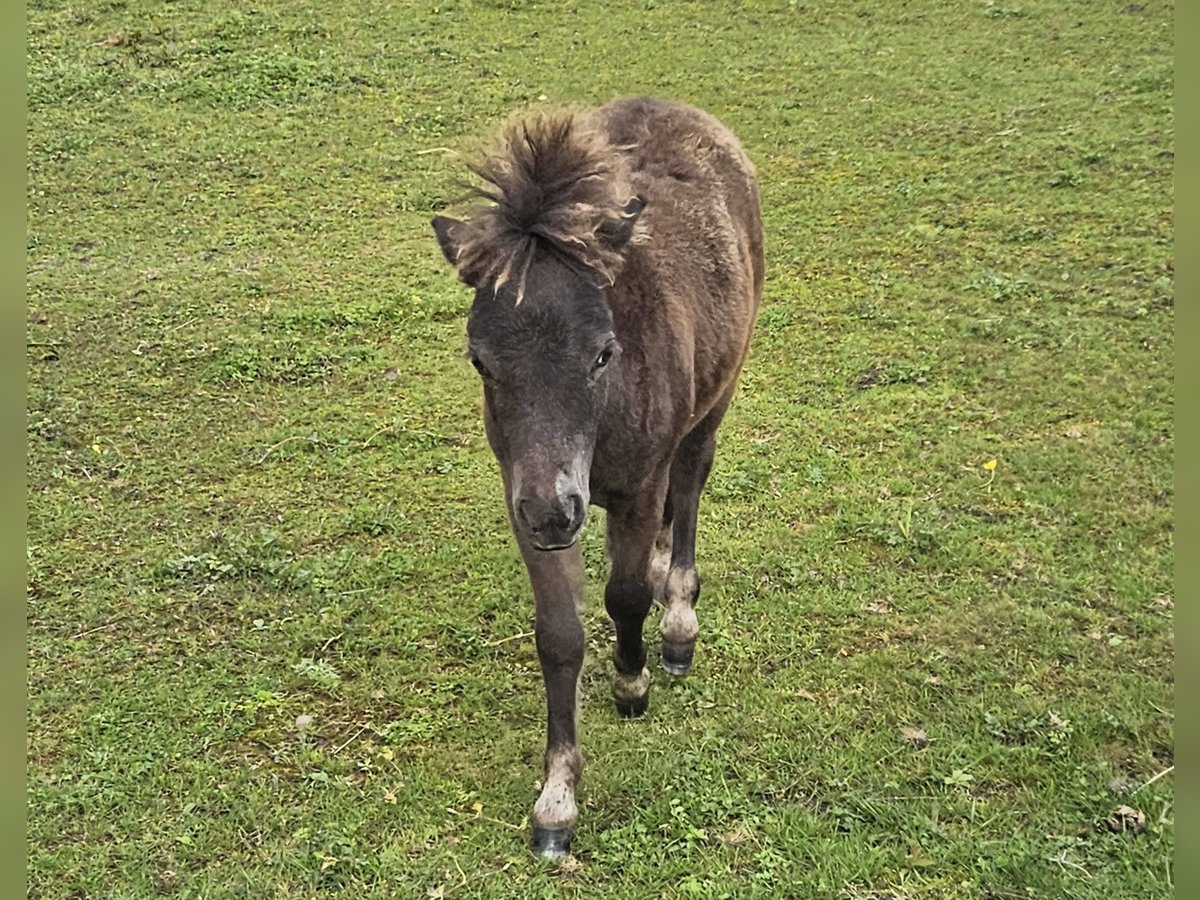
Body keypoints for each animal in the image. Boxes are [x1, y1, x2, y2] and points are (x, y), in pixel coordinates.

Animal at [436, 95, 763, 854]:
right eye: (480, 361)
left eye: (603, 354)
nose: (556, 511)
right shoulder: (522, 500)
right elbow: (559, 634)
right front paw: (556, 799)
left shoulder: (635, 488)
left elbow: (625, 596)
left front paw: (631, 684)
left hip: (717, 395)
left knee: (690, 483)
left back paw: (678, 622)